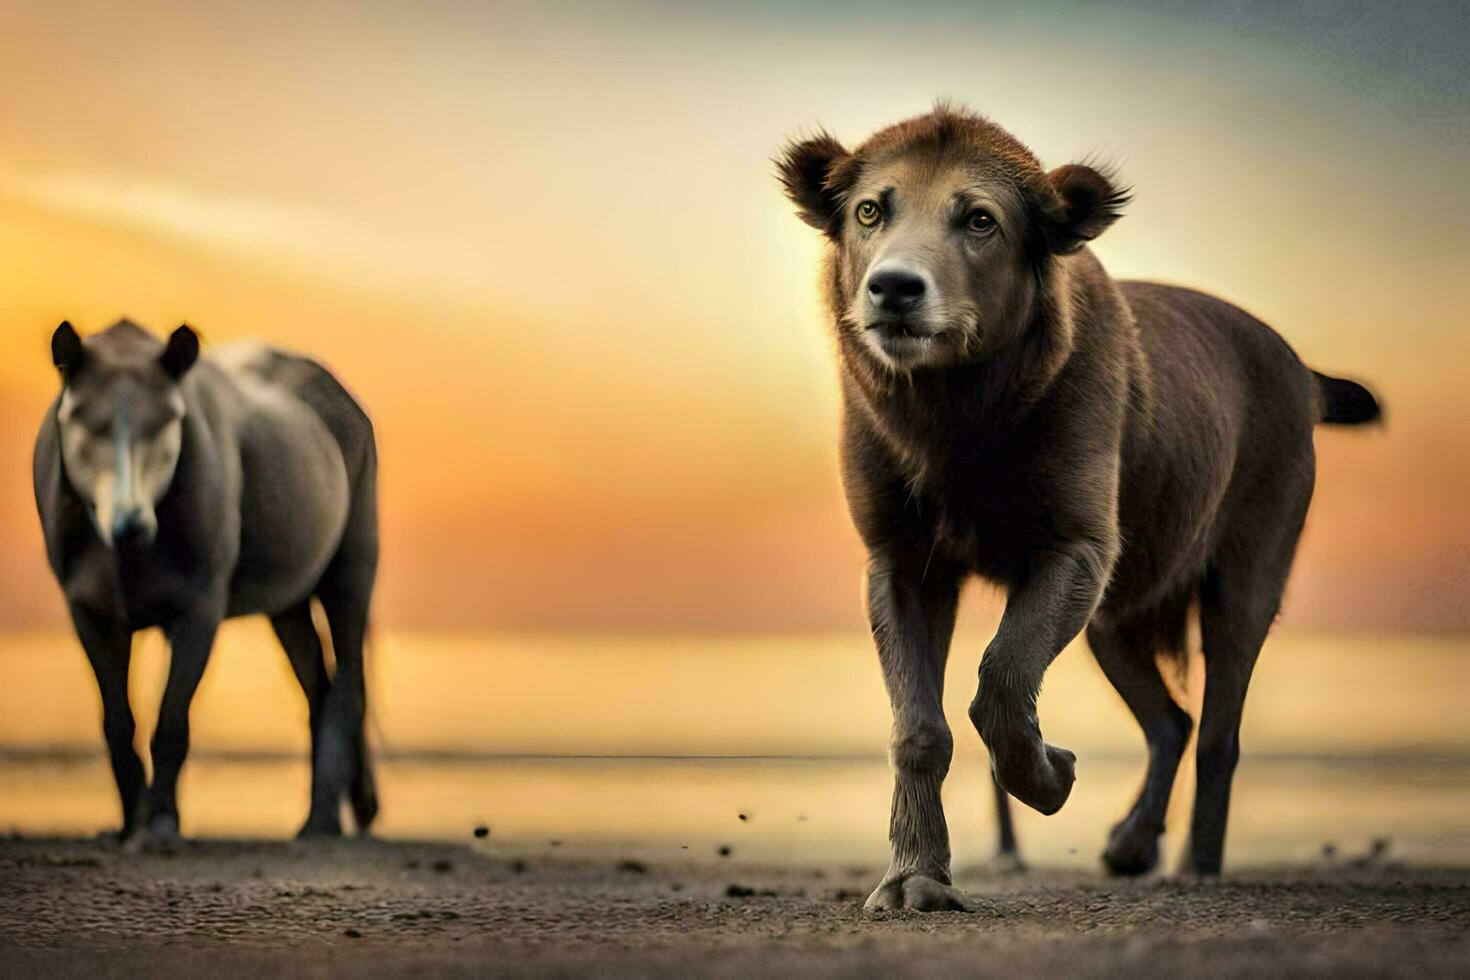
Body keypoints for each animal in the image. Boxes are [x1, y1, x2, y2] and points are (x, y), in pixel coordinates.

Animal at [35, 320, 382, 846]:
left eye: (168, 420)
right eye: (81, 420)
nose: (132, 523)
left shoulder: (198, 612)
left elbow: (171, 723)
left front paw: (161, 824)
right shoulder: (89, 614)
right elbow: (118, 723)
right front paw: (130, 823)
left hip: (349, 578)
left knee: (347, 685)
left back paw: (322, 822)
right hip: (288, 605)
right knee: (317, 690)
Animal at [776, 103, 1381, 910]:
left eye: (980, 220)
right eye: (870, 211)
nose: (894, 287)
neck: (955, 411)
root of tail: (1302, 370)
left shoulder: (1073, 550)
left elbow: (1001, 683)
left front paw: (1049, 777)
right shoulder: (902, 565)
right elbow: (919, 727)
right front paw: (914, 878)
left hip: (1242, 584)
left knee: (1217, 733)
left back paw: (1195, 864)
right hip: (1113, 618)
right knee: (1171, 722)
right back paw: (1130, 844)